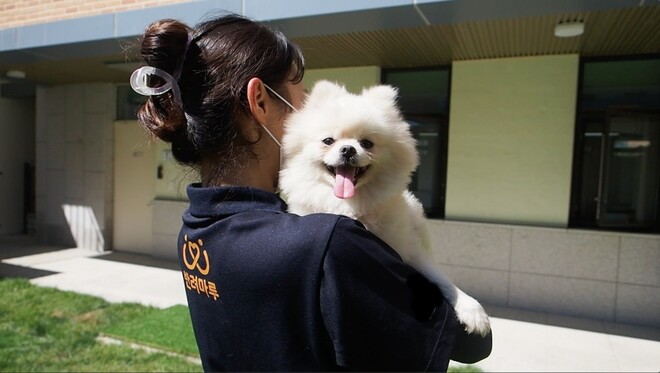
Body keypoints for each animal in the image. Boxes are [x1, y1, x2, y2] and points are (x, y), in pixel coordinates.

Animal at [278, 80, 490, 336]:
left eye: (366, 143)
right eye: (328, 141)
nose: (348, 149)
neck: (351, 205)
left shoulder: (411, 251)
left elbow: (440, 278)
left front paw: (472, 310)